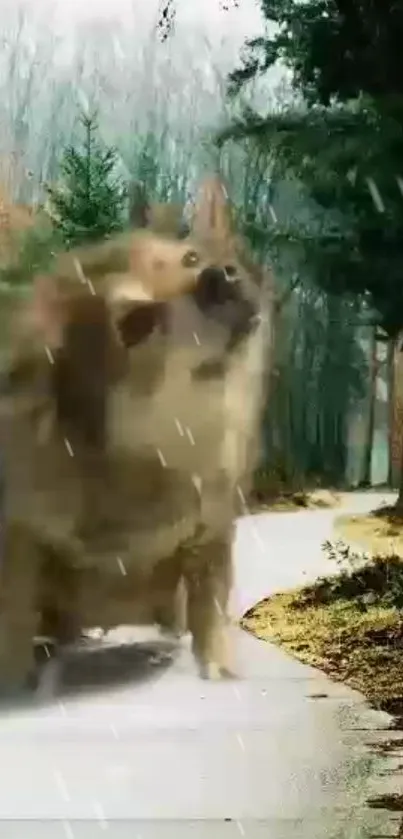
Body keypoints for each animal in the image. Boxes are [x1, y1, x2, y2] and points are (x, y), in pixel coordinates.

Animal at [0, 174, 274, 684]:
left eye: (192, 259)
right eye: (136, 322)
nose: (218, 276)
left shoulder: (214, 525)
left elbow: (210, 602)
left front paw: (219, 668)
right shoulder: (19, 534)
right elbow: (12, 614)